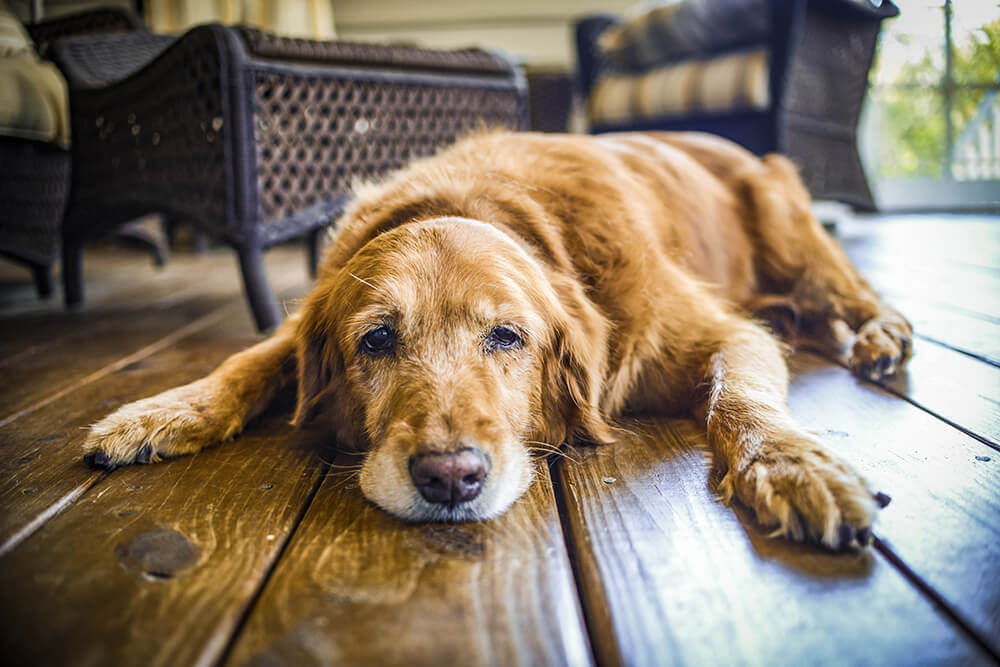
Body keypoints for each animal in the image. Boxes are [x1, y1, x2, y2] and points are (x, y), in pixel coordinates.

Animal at [84, 130, 916, 548]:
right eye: (376, 341)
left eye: (508, 336)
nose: (449, 477)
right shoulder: (304, 318)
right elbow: (250, 359)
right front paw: (159, 411)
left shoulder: (721, 330)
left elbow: (738, 397)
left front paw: (791, 464)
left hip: (788, 225)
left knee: (849, 289)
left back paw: (882, 333)